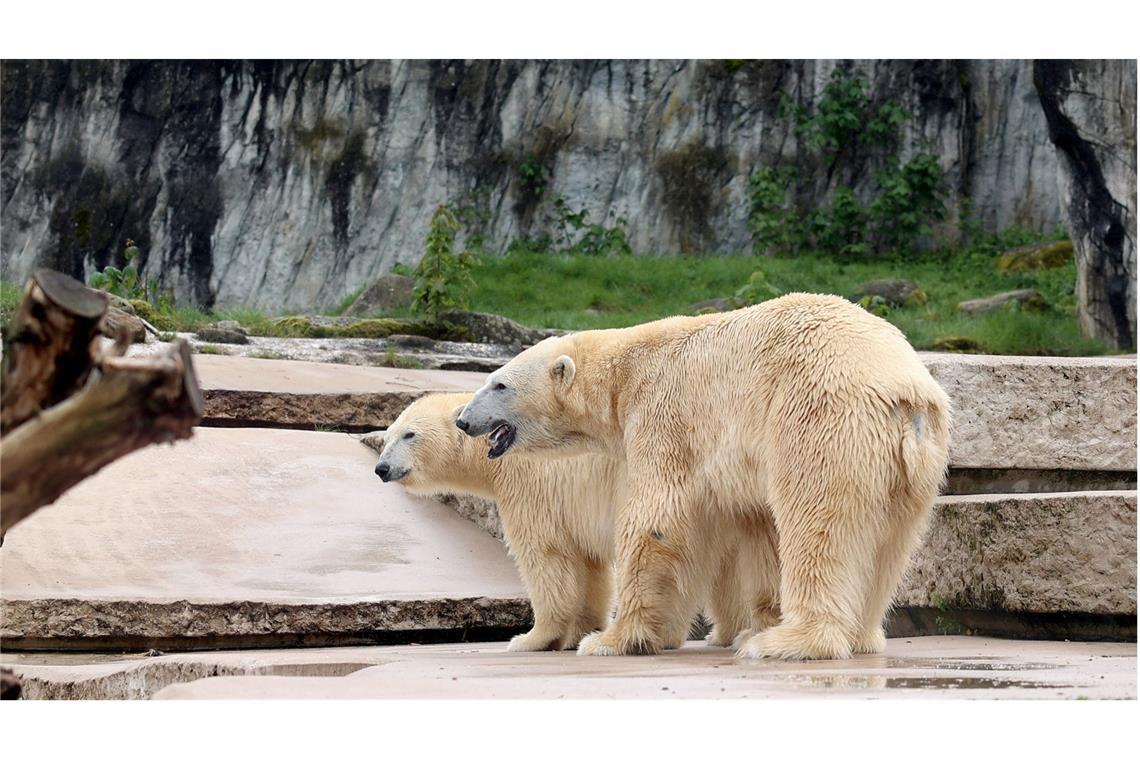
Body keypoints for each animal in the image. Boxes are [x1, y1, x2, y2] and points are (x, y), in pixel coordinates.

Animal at [373, 396, 784, 651]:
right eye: (388, 435)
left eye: (410, 434)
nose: (381, 468)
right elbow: (590, 566)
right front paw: (579, 630)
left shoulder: (531, 484)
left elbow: (546, 557)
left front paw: (532, 639)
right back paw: (721, 633)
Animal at [456, 293, 953, 660]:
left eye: (499, 384)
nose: (462, 419)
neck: (623, 371)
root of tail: (905, 393)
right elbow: (754, 527)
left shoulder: (661, 414)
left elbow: (655, 520)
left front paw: (609, 640)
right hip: (916, 466)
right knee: (890, 545)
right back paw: (860, 637)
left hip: (820, 418)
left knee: (818, 524)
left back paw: (787, 642)